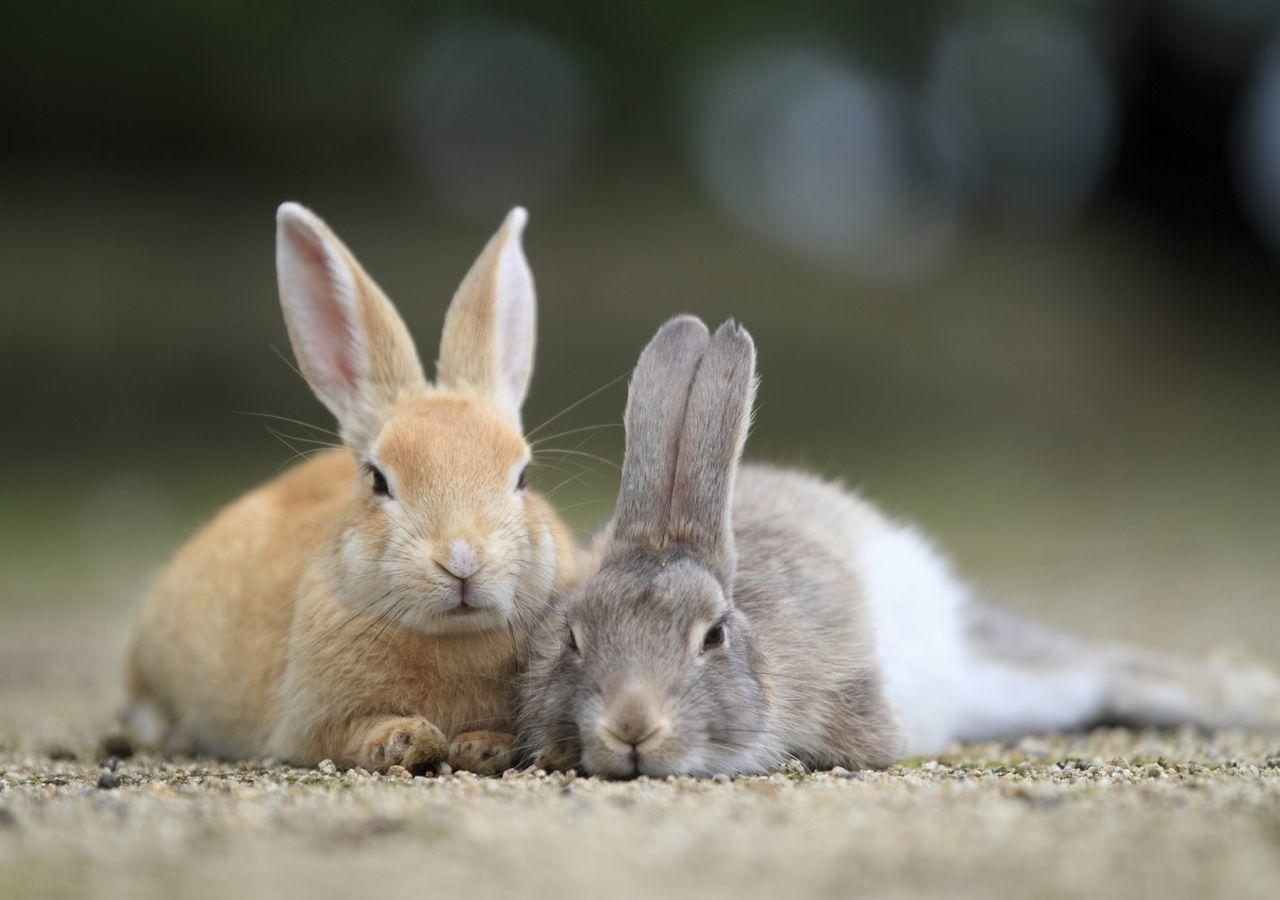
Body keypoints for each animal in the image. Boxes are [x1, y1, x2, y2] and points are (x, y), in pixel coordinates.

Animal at [123, 202, 576, 773]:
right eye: (378, 480)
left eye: (523, 477)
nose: (462, 559)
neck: (452, 637)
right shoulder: (308, 725)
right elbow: (348, 734)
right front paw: (408, 739)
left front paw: (482, 746)